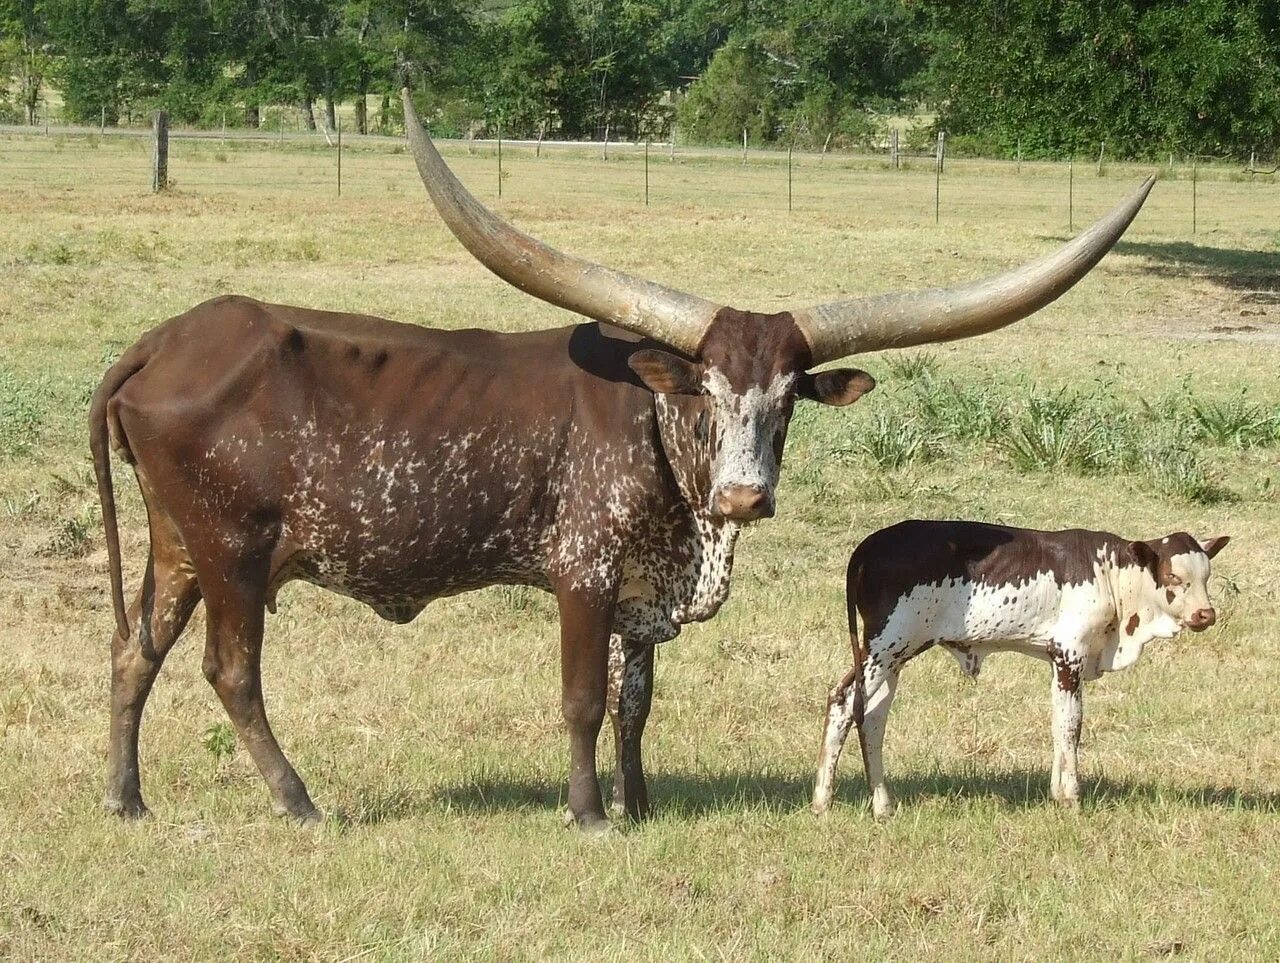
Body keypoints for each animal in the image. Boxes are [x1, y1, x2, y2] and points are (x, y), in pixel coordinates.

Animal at [87, 90, 1152, 829]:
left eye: (786, 400)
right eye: (704, 389)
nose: (745, 495)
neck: (665, 452)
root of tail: (166, 339)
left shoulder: (644, 595)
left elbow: (637, 703)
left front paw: (641, 803)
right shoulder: (584, 574)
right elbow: (583, 698)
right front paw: (591, 813)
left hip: (177, 547)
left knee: (135, 650)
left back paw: (127, 798)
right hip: (232, 551)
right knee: (231, 671)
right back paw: (300, 801)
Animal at [808, 522, 1228, 814]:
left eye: (1206, 577)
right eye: (1174, 576)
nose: (1205, 614)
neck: (1112, 575)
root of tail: (870, 545)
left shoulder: (1058, 660)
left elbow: (1059, 725)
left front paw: (1058, 793)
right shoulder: (1070, 655)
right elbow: (1071, 727)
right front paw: (1072, 797)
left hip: (894, 655)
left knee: (872, 717)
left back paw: (881, 804)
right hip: (885, 646)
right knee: (844, 702)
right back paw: (822, 801)